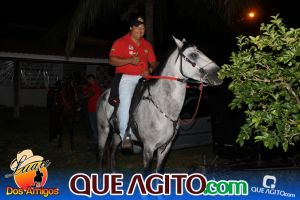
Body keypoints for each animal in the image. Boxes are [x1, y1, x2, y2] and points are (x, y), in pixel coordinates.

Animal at [97, 37, 221, 173]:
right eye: (193, 55)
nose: (218, 73)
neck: (163, 107)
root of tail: (105, 93)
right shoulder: (148, 149)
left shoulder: (164, 148)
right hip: (103, 130)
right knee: (101, 154)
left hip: (117, 133)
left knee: (112, 149)